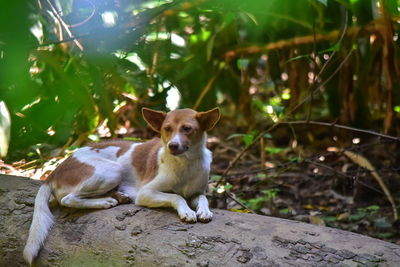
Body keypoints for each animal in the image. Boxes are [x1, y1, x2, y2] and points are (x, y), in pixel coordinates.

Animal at [23, 107, 220, 266]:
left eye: (187, 129)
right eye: (167, 129)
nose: (172, 145)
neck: (186, 164)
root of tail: (56, 170)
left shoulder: (196, 192)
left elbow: (203, 198)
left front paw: (204, 211)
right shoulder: (146, 192)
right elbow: (176, 196)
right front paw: (187, 211)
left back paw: (119, 196)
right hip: (113, 170)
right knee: (68, 199)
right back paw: (104, 202)